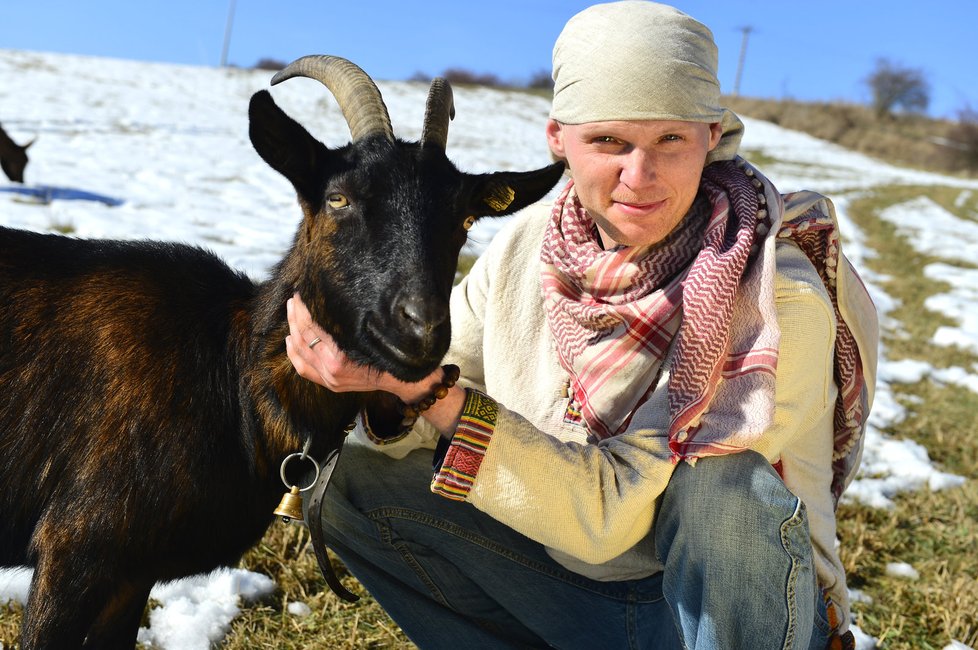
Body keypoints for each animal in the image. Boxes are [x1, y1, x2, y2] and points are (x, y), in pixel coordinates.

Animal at [0, 57, 564, 648]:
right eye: (338, 198)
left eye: (465, 220)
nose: (422, 329)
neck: (233, 376)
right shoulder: (77, 546)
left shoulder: (130, 573)